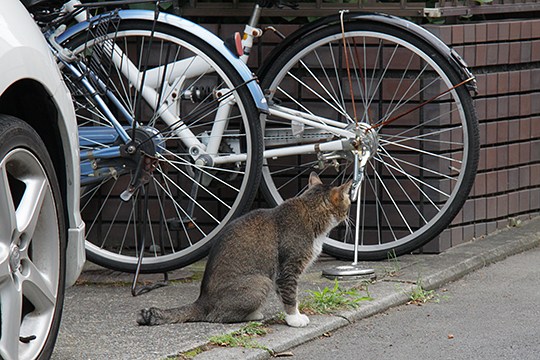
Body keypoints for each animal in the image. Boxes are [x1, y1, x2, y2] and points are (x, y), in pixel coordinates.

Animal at [137, 173, 352, 328]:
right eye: (349, 203)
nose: (349, 215)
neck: (310, 211)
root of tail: (202, 301)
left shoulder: (279, 274)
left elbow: (284, 295)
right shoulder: (288, 268)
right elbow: (291, 295)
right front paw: (294, 319)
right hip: (261, 281)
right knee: (217, 317)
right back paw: (252, 315)